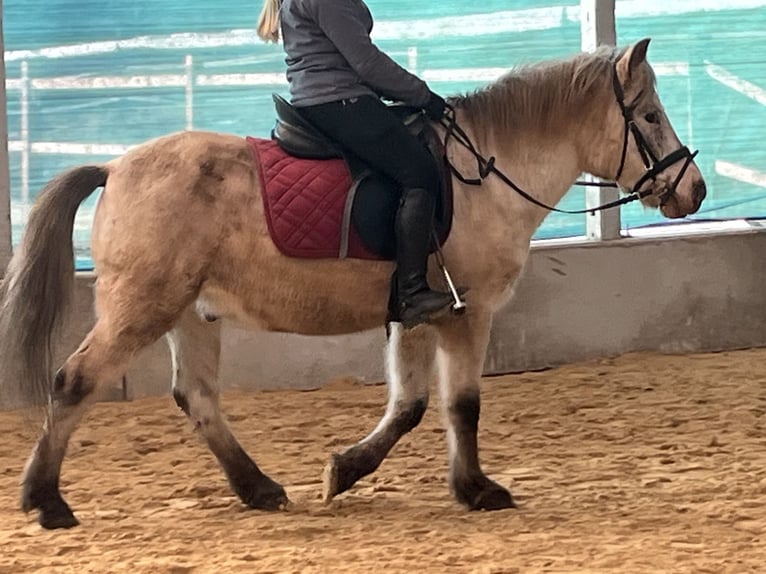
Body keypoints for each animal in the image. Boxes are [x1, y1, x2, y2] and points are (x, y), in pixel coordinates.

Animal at [0, 38, 706, 530]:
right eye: (648, 114)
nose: (694, 190)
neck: (487, 172)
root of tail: (115, 166)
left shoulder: (415, 313)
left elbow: (410, 405)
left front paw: (344, 470)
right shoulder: (467, 311)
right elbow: (461, 405)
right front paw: (477, 490)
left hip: (189, 313)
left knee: (196, 397)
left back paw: (258, 488)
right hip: (140, 307)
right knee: (74, 382)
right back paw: (47, 501)